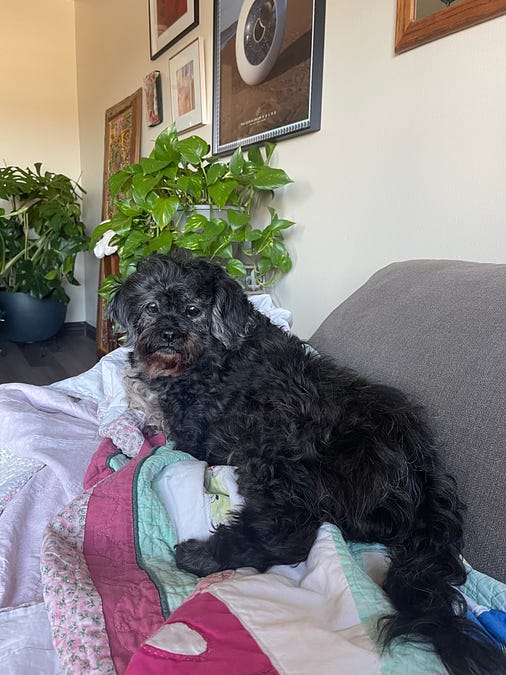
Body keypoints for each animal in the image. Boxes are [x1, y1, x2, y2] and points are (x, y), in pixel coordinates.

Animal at [108, 254, 504, 675]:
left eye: (193, 311)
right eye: (152, 307)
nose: (168, 335)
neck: (211, 358)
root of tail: (425, 478)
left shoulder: (196, 438)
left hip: (276, 448)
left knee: (290, 534)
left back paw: (204, 554)